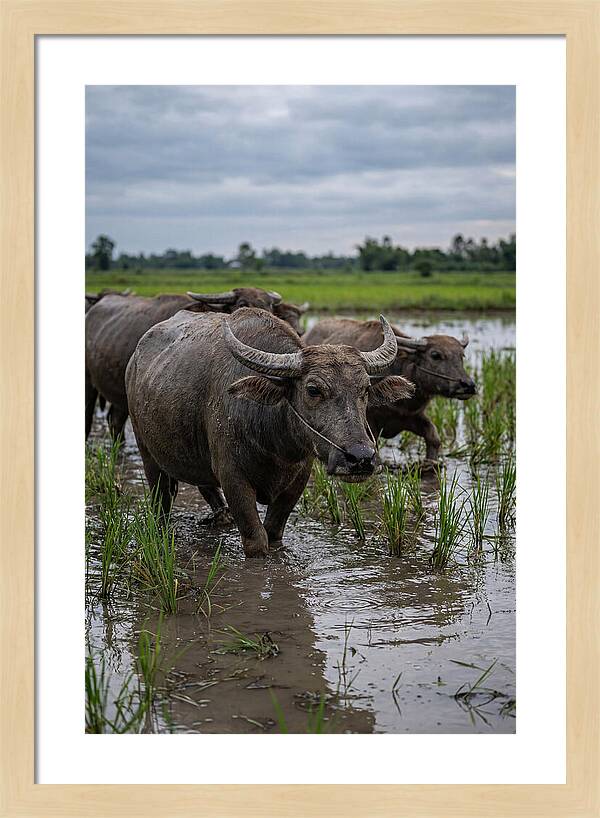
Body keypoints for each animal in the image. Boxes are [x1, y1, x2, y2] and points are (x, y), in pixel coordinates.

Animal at [125, 308, 413, 557]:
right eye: (313, 390)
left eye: (365, 389)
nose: (361, 458)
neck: (275, 444)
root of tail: (134, 361)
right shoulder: (233, 477)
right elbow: (257, 541)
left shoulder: (298, 479)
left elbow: (273, 533)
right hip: (147, 452)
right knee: (161, 500)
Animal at [304, 317, 476, 462]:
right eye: (436, 355)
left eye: (461, 356)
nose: (468, 385)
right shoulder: (369, 422)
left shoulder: (412, 416)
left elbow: (433, 437)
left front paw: (431, 463)